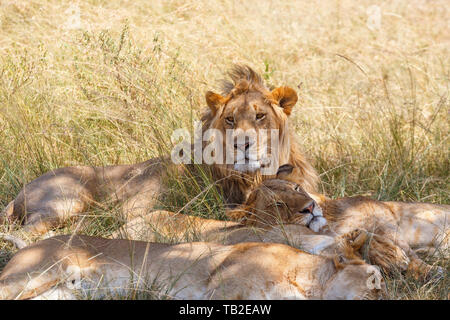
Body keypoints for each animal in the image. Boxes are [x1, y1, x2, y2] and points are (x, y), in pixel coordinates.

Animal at [0, 65, 316, 235]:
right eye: (230, 119)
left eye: (260, 116)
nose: (243, 144)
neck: (251, 179)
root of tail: (18, 194)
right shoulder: (134, 208)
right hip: (67, 200)